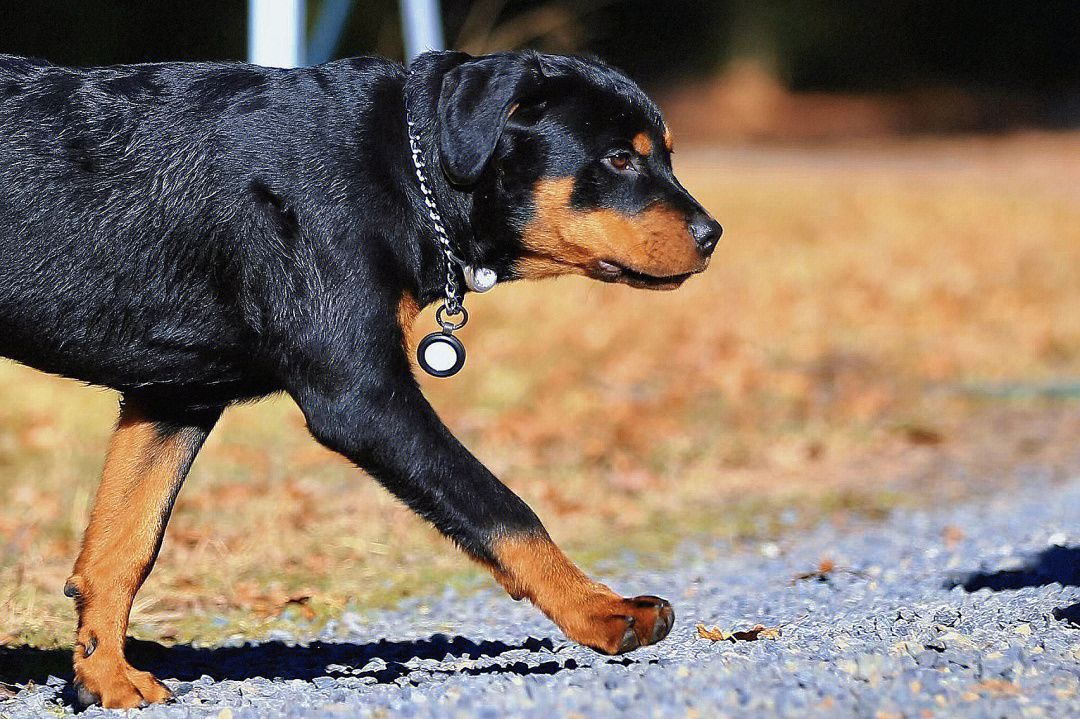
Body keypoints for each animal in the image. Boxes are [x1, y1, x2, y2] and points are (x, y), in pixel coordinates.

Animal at [2, 50, 725, 703]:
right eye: (619, 159)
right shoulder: (361, 396)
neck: (405, 167)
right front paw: (603, 610)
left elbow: (124, 545)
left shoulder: (176, 396)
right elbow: (498, 505)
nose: (713, 234)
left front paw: (106, 679)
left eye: (664, 155)